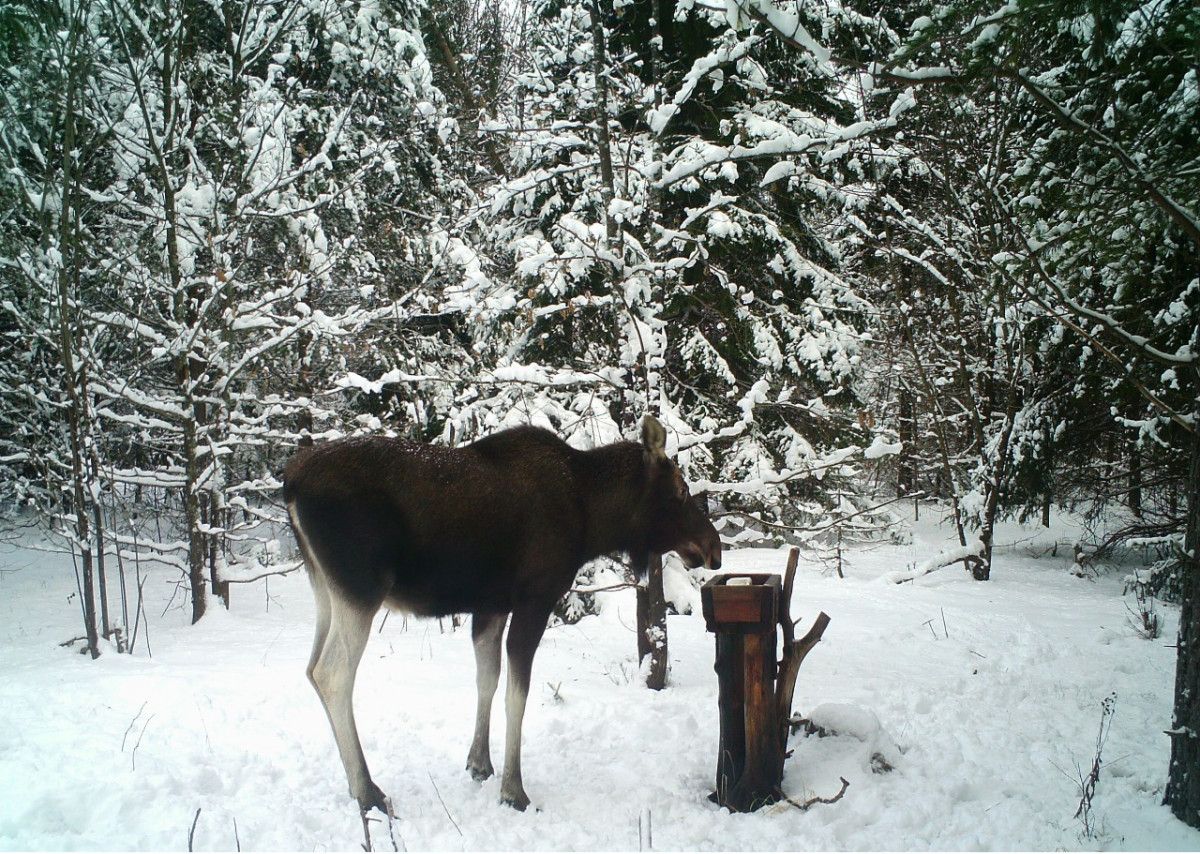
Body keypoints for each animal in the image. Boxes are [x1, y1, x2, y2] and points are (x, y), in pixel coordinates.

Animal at [280, 417, 720, 815]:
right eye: (681, 490)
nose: (713, 548)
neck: (591, 520)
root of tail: (291, 482)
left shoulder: (490, 606)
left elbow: (486, 680)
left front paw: (480, 764)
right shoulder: (535, 598)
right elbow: (517, 694)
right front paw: (514, 790)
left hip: (326, 589)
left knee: (311, 668)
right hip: (362, 588)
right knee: (332, 673)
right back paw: (367, 791)